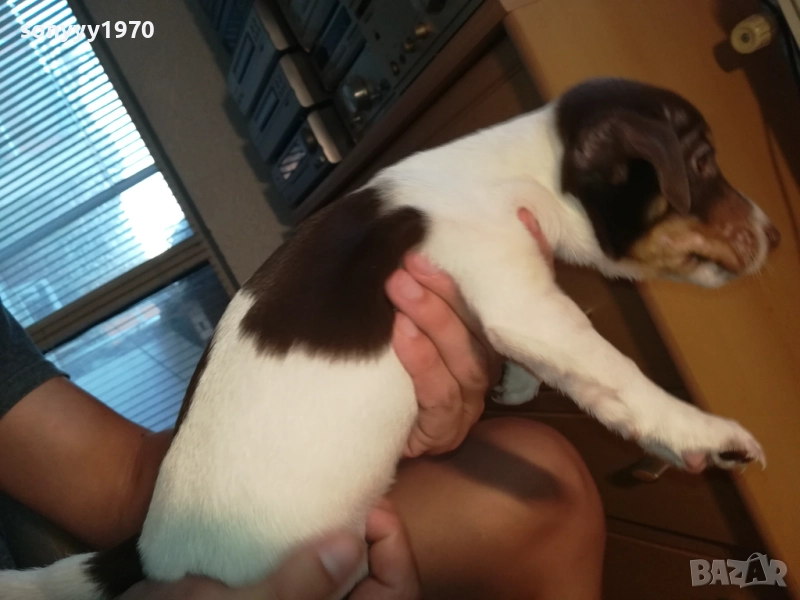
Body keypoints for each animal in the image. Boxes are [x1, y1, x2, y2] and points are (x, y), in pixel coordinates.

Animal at [0, 77, 780, 599]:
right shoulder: (524, 301)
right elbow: (617, 374)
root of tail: (150, 552)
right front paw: (704, 435)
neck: (517, 168)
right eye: (702, 162)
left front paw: (512, 382)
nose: (775, 234)